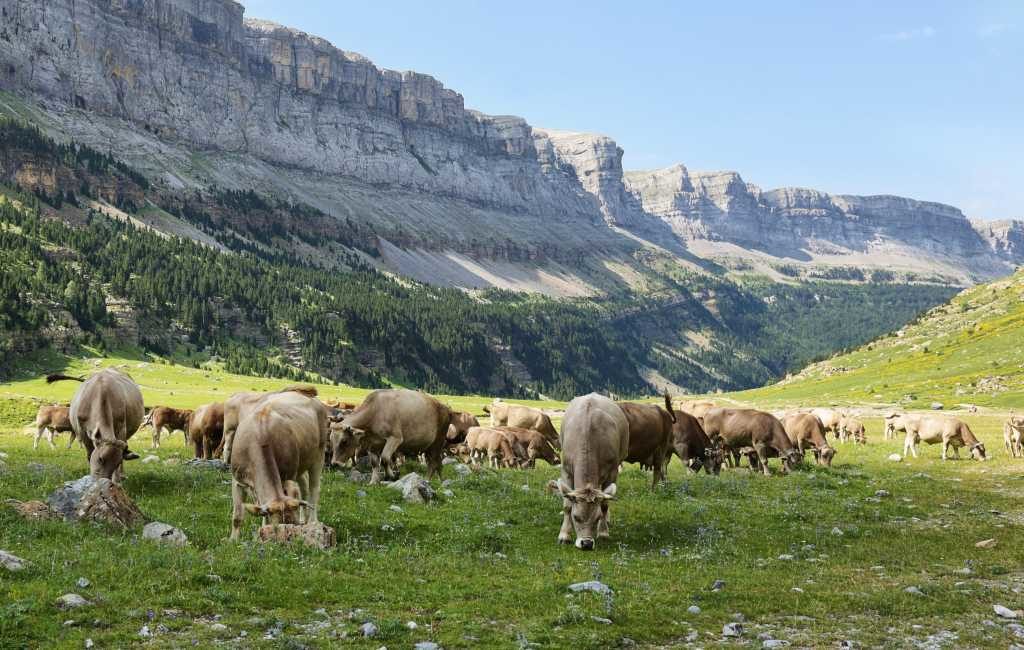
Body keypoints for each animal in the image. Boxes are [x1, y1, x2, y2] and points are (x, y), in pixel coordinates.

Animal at [230, 391, 329, 540]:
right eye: (278, 526)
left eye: (292, 524)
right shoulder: (237, 480)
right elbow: (237, 516)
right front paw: (233, 541)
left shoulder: (288, 475)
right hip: (301, 463)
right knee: (304, 487)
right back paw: (304, 518)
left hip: (319, 455)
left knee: (314, 489)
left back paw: (313, 521)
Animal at [548, 395, 626, 552]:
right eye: (576, 517)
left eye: (596, 518)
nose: (587, 543)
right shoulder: (566, 470)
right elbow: (567, 504)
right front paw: (564, 535)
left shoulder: (613, 471)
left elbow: (604, 504)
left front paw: (603, 532)